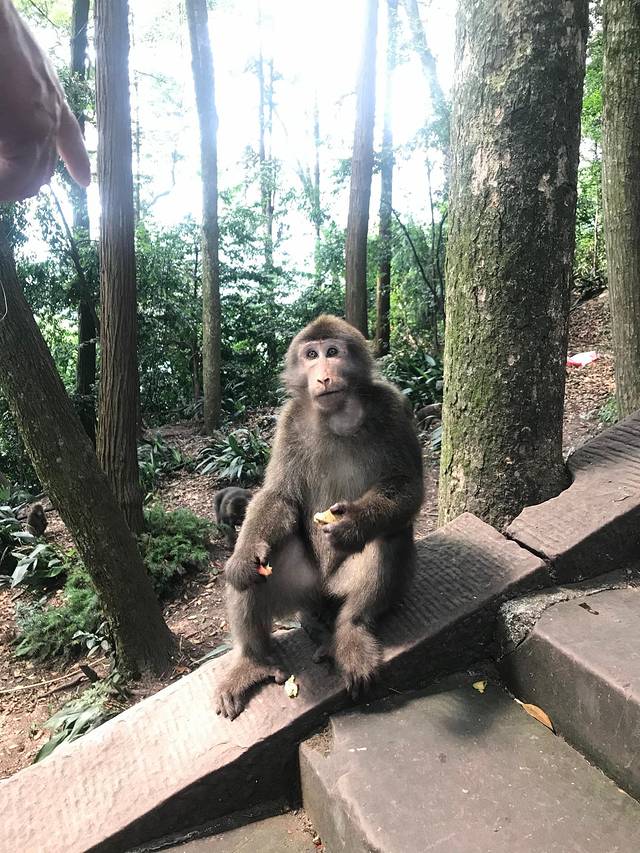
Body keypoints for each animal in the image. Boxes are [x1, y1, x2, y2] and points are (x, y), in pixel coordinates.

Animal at [215, 315, 424, 719]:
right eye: (311, 355)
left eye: (333, 352)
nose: (324, 375)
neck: (339, 415)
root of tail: (321, 593)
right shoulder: (288, 421)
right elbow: (279, 497)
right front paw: (245, 555)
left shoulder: (394, 406)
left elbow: (408, 489)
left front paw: (354, 523)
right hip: (302, 587)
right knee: (258, 571)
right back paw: (253, 659)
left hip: (343, 586)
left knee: (388, 534)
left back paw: (351, 632)